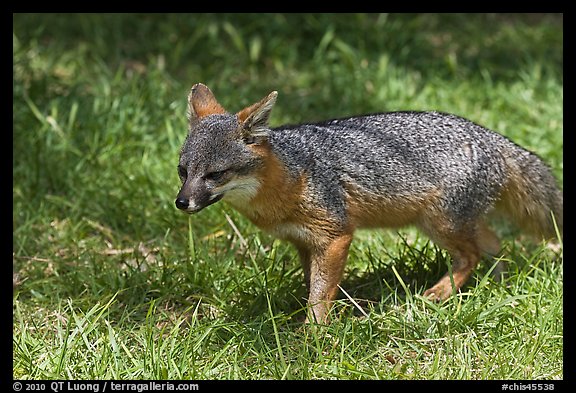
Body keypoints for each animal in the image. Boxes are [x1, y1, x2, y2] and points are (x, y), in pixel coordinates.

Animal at [176, 82, 564, 322]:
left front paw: (312, 335)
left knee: (471, 255)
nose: (181, 202)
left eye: (215, 174)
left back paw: (439, 293)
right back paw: (493, 284)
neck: (289, 178)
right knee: (493, 245)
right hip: (453, 223)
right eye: (182, 171)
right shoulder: (304, 242)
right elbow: (314, 285)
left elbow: (320, 294)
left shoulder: (336, 236)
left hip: (440, 224)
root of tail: (490, 135)